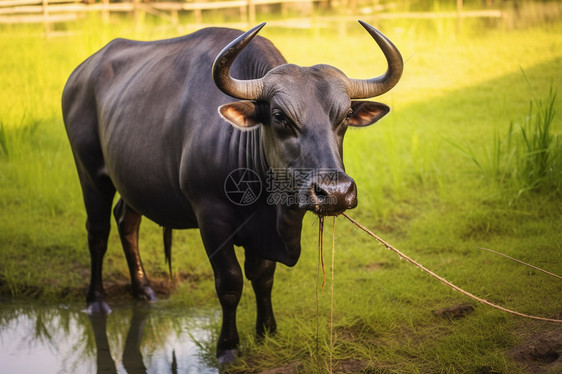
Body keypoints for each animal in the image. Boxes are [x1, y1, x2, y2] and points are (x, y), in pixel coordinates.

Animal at [61, 21, 400, 364]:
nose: (336, 192)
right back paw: (96, 301)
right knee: (98, 232)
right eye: (279, 116)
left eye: (344, 117)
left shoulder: (262, 231)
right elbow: (230, 282)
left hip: (134, 182)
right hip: (90, 173)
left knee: (126, 222)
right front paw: (227, 346)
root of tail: (79, 75)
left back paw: (144, 289)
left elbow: (263, 276)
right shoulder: (211, 220)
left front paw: (267, 331)